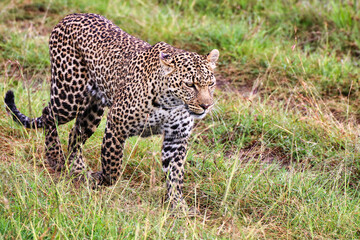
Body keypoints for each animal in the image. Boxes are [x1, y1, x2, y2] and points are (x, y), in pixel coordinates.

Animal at [4, 13, 219, 208]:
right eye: (189, 84)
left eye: (211, 84)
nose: (206, 105)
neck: (171, 104)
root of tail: (69, 16)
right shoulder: (116, 126)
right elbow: (112, 167)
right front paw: (102, 178)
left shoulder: (176, 138)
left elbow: (175, 174)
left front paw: (178, 206)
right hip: (69, 96)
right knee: (48, 114)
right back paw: (54, 156)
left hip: (93, 110)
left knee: (75, 133)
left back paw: (79, 169)